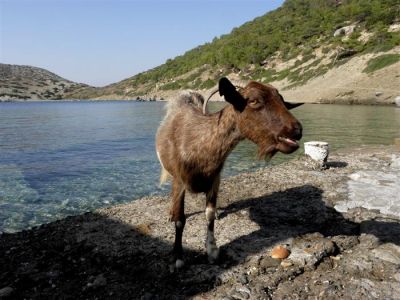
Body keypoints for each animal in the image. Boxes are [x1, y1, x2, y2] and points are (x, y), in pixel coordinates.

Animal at [155, 77, 302, 270]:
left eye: (282, 100)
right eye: (254, 101)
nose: (297, 130)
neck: (200, 143)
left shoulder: (215, 178)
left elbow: (209, 214)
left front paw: (212, 250)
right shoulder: (180, 180)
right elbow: (180, 220)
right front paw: (177, 258)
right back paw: (170, 213)